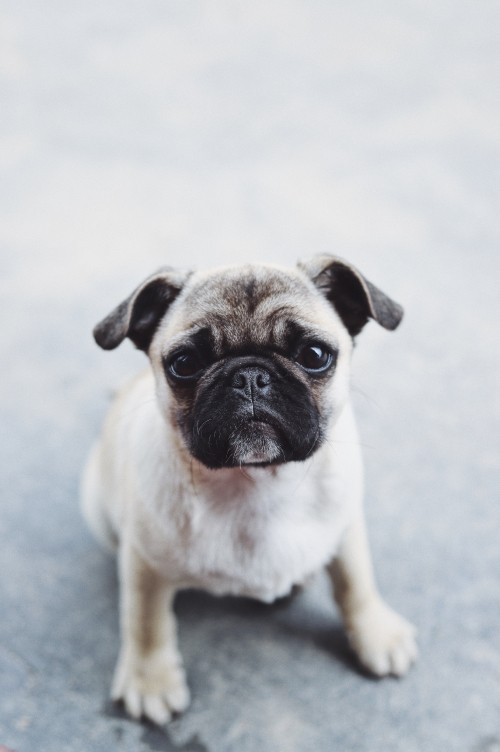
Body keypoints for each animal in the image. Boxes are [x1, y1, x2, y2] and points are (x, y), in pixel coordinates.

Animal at [81, 256, 418, 724]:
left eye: (314, 356)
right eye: (184, 363)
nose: (250, 376)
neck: (256, 481)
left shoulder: (346, 527)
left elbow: (356, 582)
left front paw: (376, 634)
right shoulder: (144, 562)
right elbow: (147, 622)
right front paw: (151, 682)